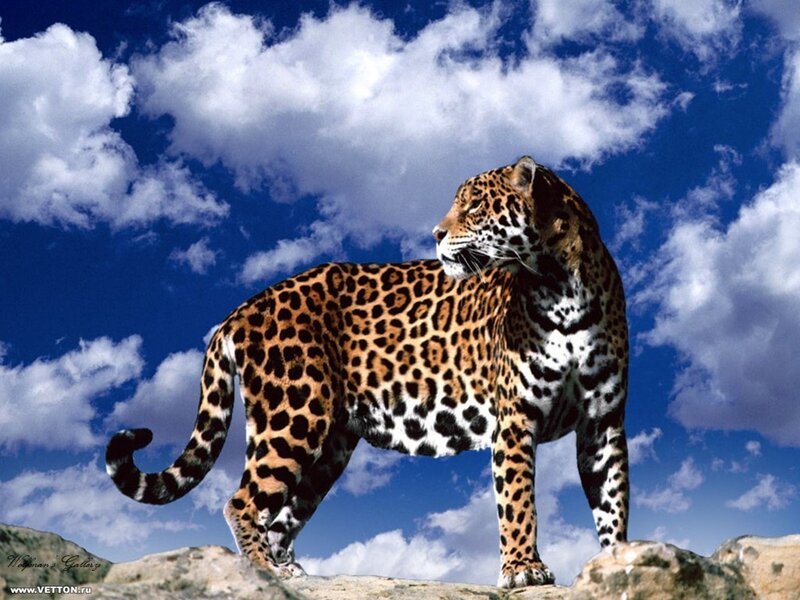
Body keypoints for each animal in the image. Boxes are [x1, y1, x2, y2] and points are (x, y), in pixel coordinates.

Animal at [106, 156, 630, 588]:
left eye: (475, 205)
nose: (436, 234)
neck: (560, 285)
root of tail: (242, 308)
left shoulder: (602, 423)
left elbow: (613, 501)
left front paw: (619, 563)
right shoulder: (516, 419)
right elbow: (518, 498)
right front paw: (523, 569)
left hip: (330, 446)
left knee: (284, 513)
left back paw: (287, 569)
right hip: (293, 415)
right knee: (243, 501)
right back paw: (261, 573)